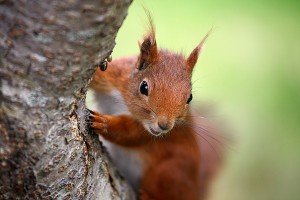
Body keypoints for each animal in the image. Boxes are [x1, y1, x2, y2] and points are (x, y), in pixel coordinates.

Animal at [88, 18, 217, 199]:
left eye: (190, 98)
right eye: (144, 87)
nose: (164, 126)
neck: (124, 103)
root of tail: (195, 192)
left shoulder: (146, 131)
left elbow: (129, 134)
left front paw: (103, 122)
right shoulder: (115, 76)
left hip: (171, 171)